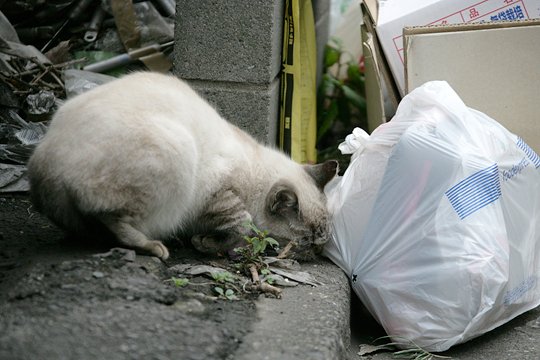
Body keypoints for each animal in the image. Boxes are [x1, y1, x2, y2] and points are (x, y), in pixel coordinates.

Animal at [28, 71, 338, 260]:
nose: (318, 253)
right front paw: (205, 244)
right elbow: (243, 228)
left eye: (322, 240)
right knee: (113, 220)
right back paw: (155, 246)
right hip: (177, 150)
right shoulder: (220, 197)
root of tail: (43, 160)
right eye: (306, 241)